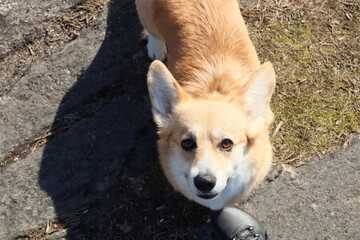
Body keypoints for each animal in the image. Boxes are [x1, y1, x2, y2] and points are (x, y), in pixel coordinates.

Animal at [135, 0, 276, 210]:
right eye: (187, 143)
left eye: (227, 143)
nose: (204, 182)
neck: (213, 89)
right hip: (146, 15)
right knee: (152, 30)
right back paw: (156, 47)